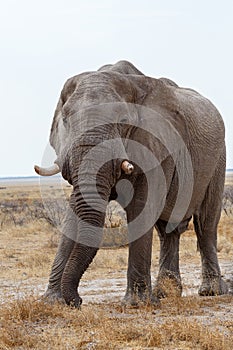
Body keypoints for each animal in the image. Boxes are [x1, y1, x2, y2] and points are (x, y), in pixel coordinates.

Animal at [34, 60, 228, 308]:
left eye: (123, 121)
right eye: (65, 120)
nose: (77, 300)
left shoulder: (156, 145)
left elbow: (142, 207)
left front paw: (135, 305)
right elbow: (75, 209)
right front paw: (52, 302)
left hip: (218, 158)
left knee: (205, 224)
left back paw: (210, 292)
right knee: (167, 229)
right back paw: (166, 293)